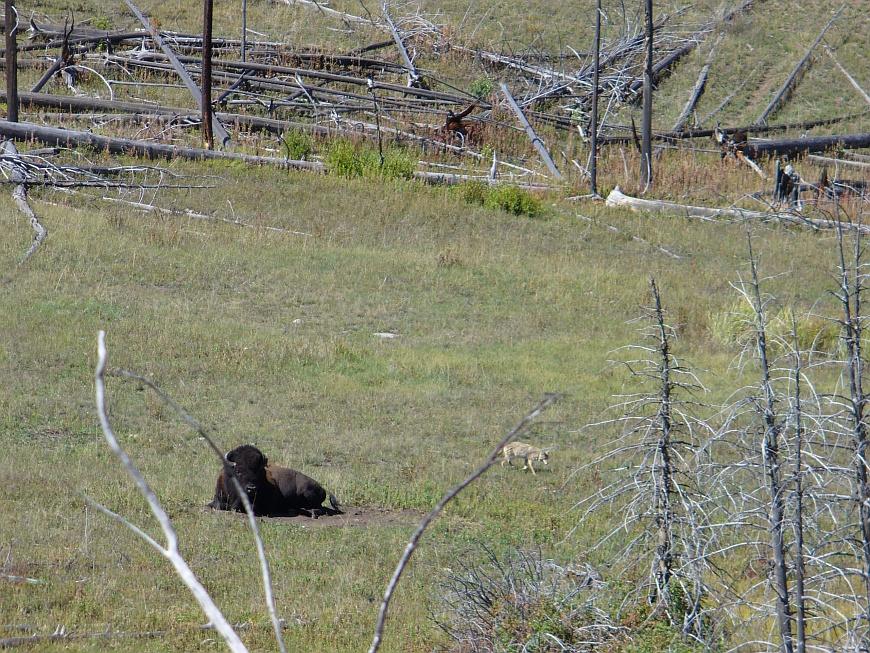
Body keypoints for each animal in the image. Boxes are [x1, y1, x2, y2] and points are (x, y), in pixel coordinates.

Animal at [211, 446, 344, 516]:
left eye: (259, 471)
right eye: (238, 471)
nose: (251, 489)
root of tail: (323, 489)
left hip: (306, 492)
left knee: (319, 508)